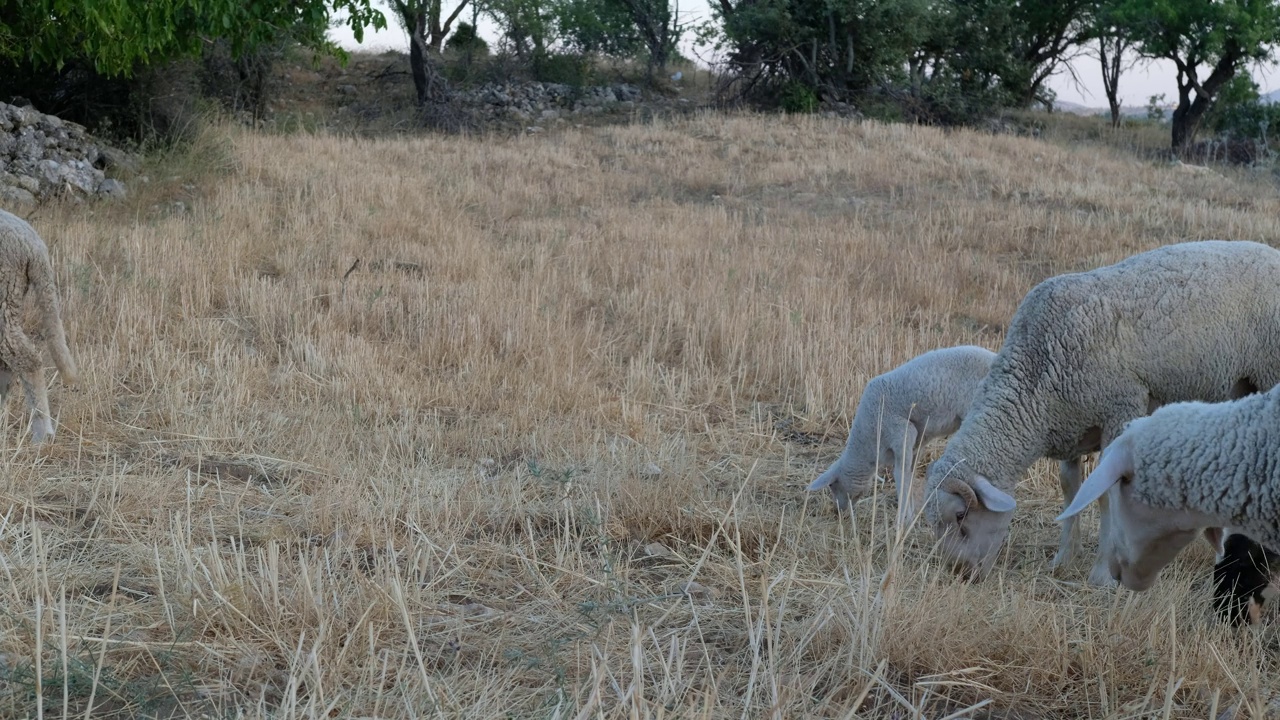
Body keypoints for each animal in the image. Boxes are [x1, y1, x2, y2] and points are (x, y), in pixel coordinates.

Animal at [926, 240, 1280, 584]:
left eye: (961, 515)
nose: (962, 574)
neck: (1037, 371)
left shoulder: (1120, 410)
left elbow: (1106, 496)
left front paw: (1102, 575)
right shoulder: (1070, 425)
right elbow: (1070, 487)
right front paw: (1064, 558)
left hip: (1268, 370)